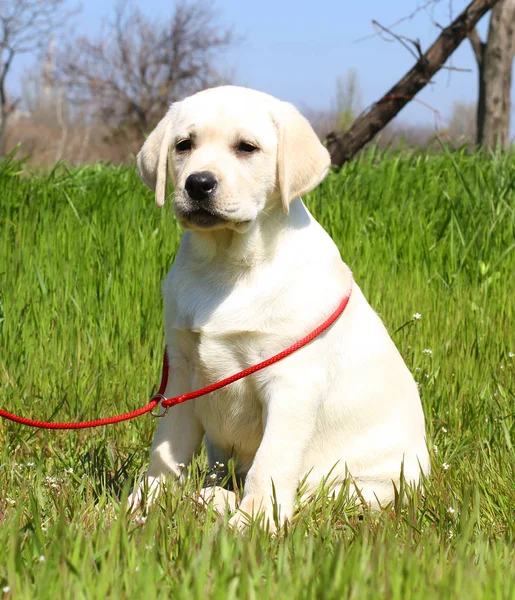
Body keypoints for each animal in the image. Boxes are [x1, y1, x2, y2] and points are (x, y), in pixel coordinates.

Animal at [130, 85, 432, 528]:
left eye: (247, 147)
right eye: (183, 145)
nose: (198, 184)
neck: (226, 264)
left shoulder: (291, 382)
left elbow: (270, 464)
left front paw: (252, 523)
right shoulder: (182, 374)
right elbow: (166, 449)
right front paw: (144, 503)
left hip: (363, 484)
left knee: (313, 495)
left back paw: (220, 502)